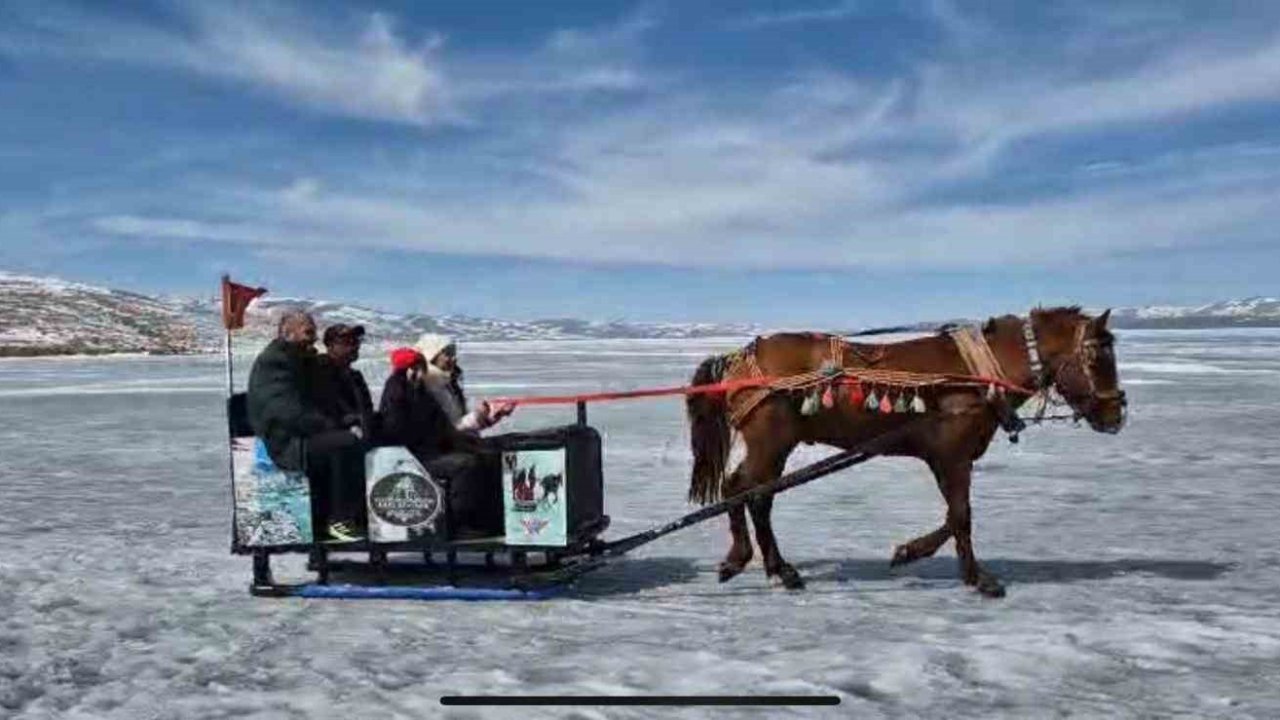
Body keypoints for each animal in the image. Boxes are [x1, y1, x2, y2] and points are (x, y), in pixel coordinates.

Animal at [686, 304, 1126, 591]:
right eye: (1097, 357)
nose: (1116, 415)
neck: (981, 374)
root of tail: (738, 357)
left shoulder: (946, 457)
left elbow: (954, 515)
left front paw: (913, 553)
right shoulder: (952, 454)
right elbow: (962, 515)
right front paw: (977, 578)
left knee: (757, 495)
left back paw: (778, 568)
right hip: (770, 441)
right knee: (740, 487)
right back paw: (743, 560)